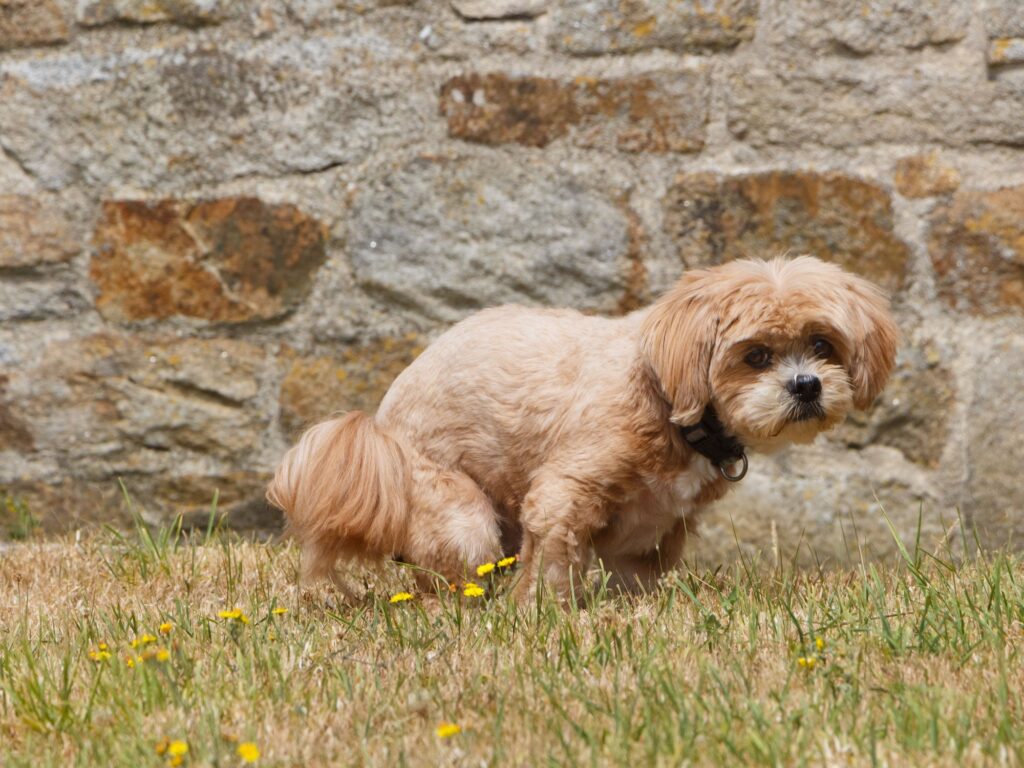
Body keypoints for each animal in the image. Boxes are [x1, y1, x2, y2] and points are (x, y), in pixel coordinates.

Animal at [266, 259, 897, 602]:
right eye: (757, 355)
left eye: (822, 345)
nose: (806, 385)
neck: (671, 402)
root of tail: (381, 426)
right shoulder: (563, 495)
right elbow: (552, 568)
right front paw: (540, 615)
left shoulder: (652, 533)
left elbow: (635, 582)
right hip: (460, 516)